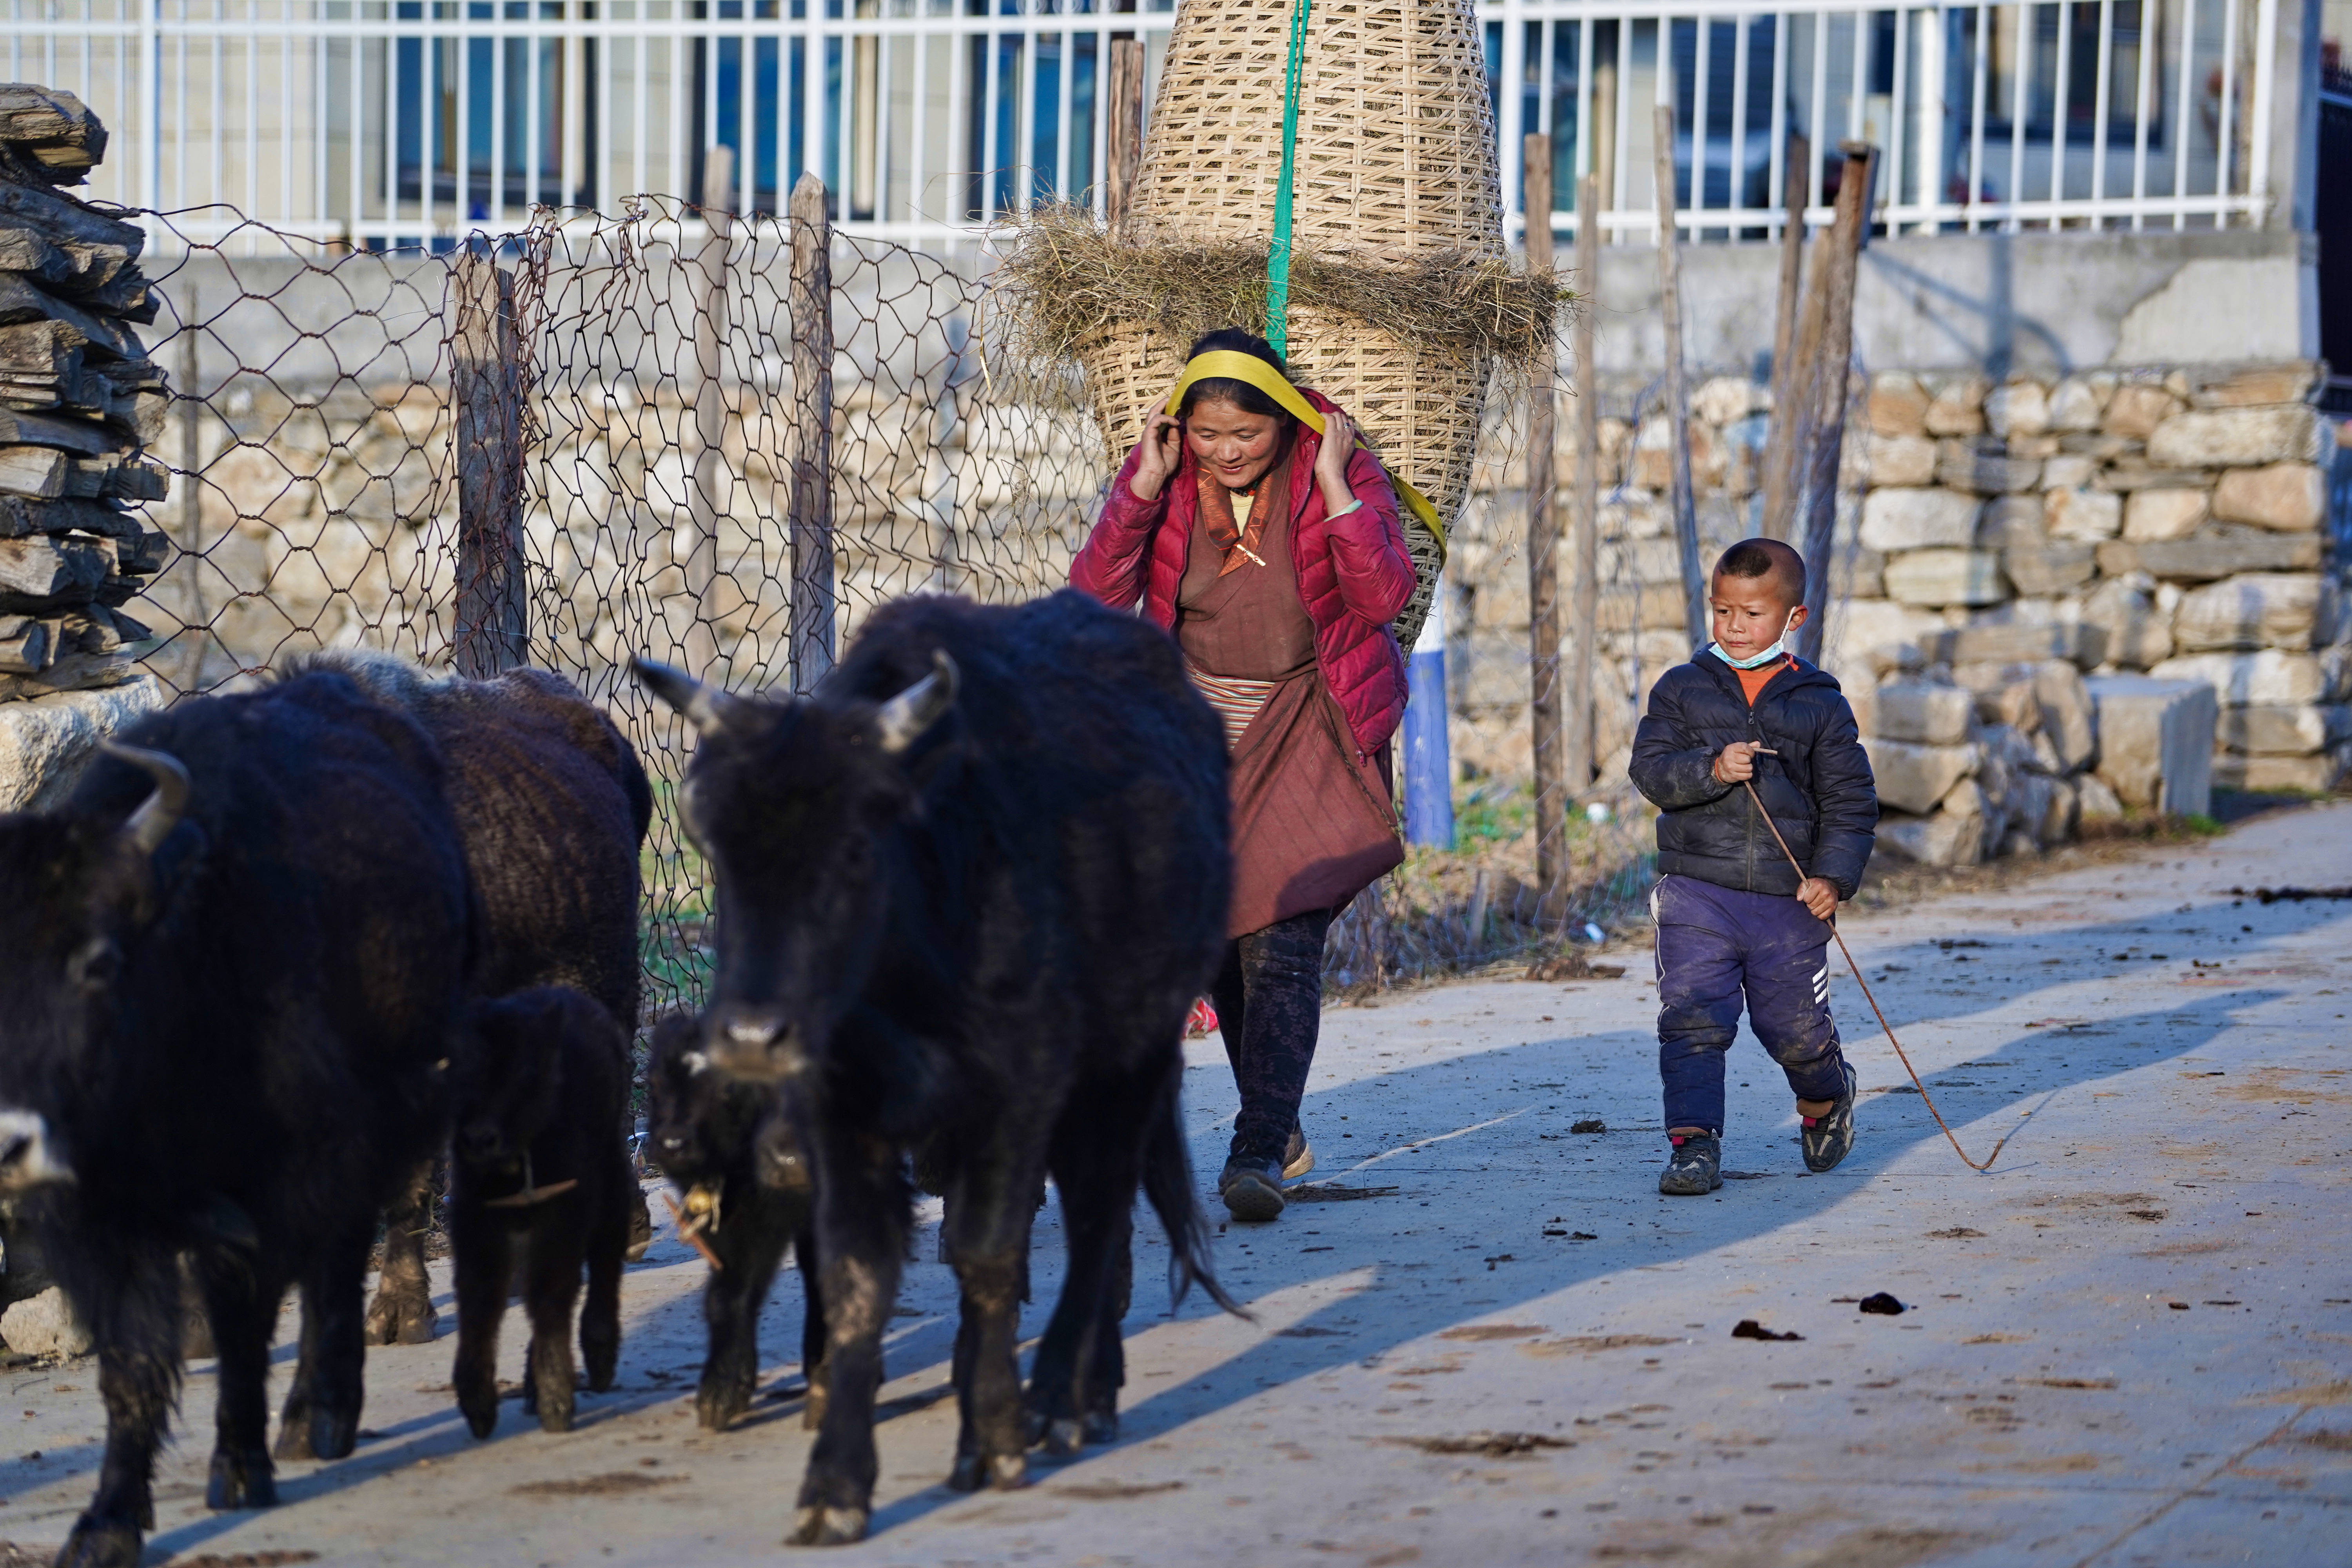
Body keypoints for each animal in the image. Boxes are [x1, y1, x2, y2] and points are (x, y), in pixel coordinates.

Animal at [445, 987, 635, 1439]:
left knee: (606, 1255)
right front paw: (478, 1405)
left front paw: (556, 1399)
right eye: (458, 1068)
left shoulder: (562, 1216)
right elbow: (480, 1299)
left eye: (526, 1072)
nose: (479, 1139)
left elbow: (549, 1293)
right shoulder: (474, 1220)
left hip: (612, 1176)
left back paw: (599, 1355)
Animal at [649, 1011, 823, 1429]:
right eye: (655, 1083)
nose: (674, 1143)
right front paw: (721, 1394)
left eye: (726, 1088)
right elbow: (727, 1297)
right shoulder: (731, 1232)